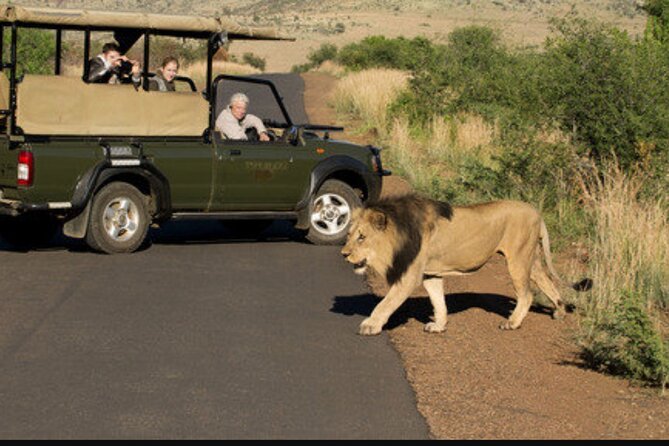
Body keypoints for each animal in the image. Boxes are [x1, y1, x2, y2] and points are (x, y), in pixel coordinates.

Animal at [342, 193, 588, 336]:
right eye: (350, 235)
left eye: (362, 237)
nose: (344, 254)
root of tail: (537, 212)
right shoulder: (430, 274)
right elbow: (438, 302)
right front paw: (439, 326)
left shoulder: (409, 276)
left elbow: (386, 303)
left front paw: (371, 325)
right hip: (531, 259)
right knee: (547, 282)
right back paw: (559, 311)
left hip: (518, 259)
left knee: (527, 295)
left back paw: (512, 323)